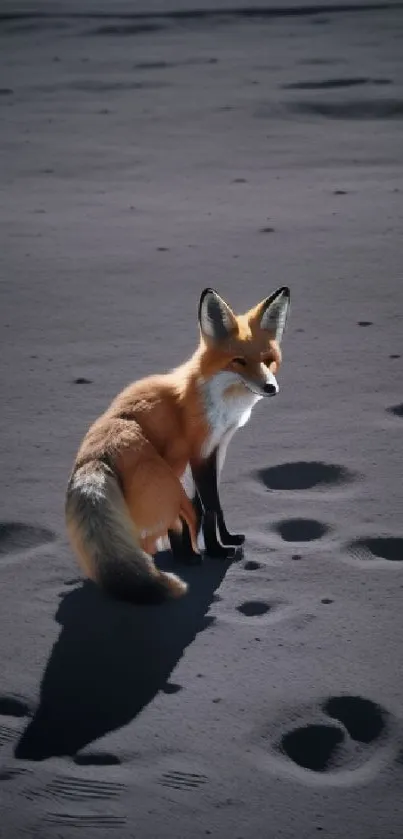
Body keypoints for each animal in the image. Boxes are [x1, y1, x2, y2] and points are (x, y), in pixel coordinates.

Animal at [64, 288, 290, 604]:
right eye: (239, 361)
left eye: (268, 360)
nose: (271, 388)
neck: (220, 402)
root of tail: (90, 458)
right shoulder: (199, 452)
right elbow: (211, 508)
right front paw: (218, 551)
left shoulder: (217, 449)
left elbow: (210, 506)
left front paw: (223, 541)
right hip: (165, 480)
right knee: (158, 531)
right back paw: (186, 558)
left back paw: (185, 556)